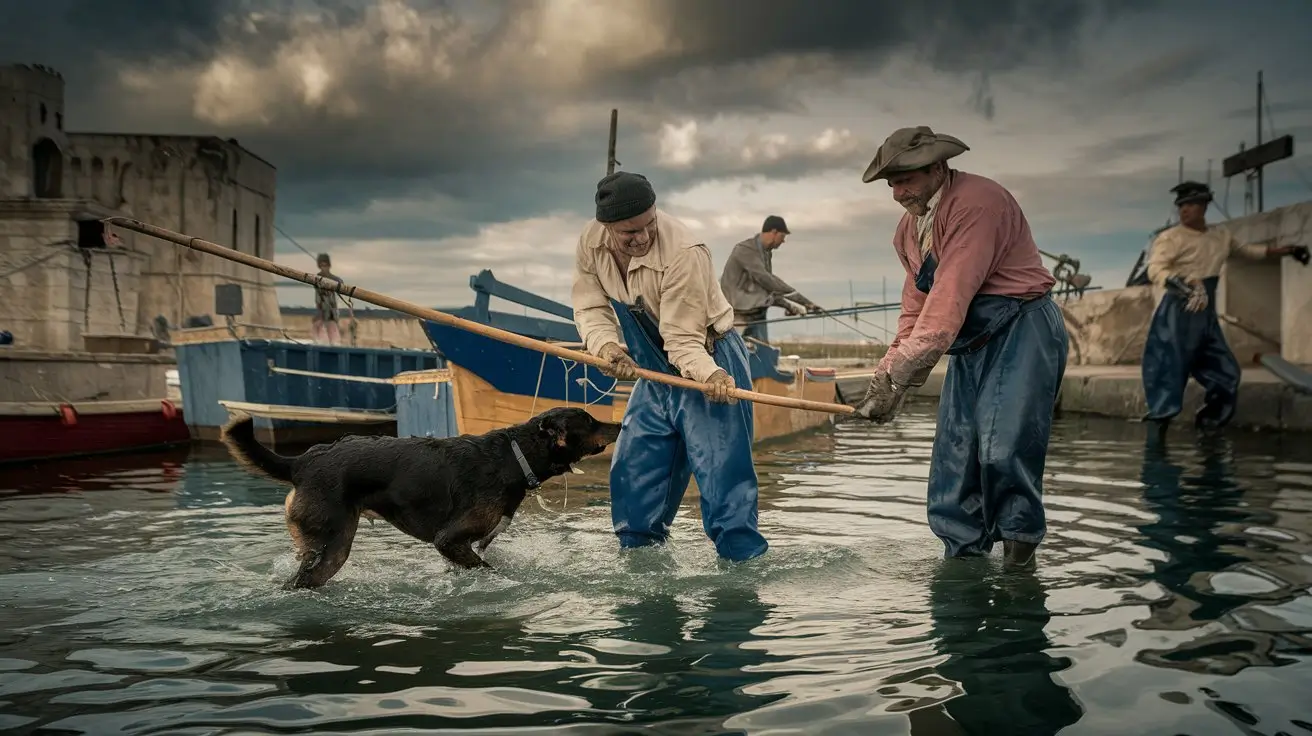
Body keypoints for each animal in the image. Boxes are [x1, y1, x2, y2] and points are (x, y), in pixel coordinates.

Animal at [220, 404, 619, 587]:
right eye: (590, 421)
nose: (618, 423)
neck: (514, 456)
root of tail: (302, 462)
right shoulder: (450, 539)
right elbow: (488, 570)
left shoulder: (461, 548)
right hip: (332, 544)